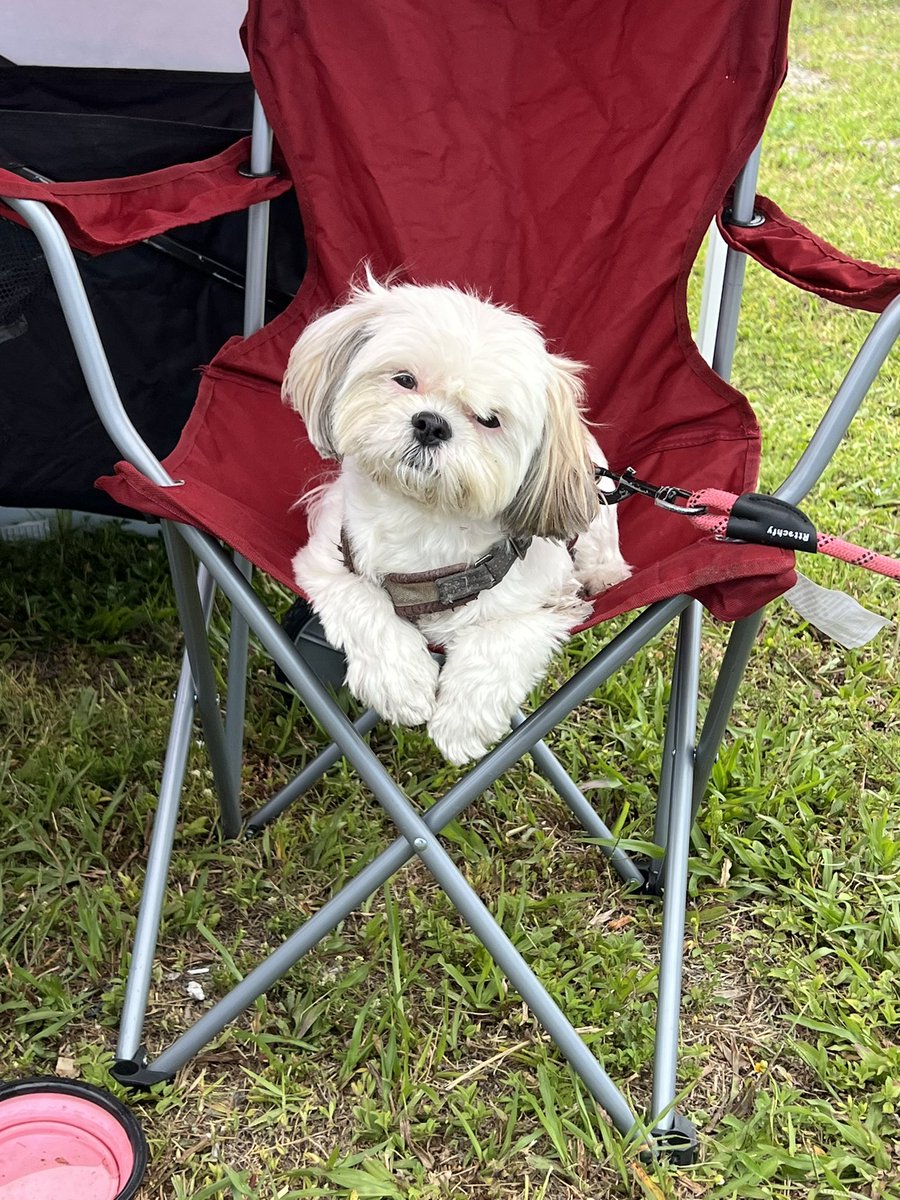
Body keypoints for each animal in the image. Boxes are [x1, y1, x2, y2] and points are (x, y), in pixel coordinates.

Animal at [285, 276, 628, 763]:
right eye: (404, 379)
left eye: (489, 419)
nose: (431, 423)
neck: (425, 519)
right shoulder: (328, 557)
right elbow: (362, 600)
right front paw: (401, 682)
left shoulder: (546, 603)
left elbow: (498, 643)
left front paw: (461, 724)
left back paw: (605, 575)